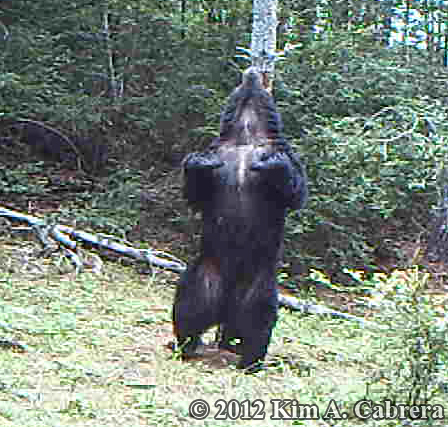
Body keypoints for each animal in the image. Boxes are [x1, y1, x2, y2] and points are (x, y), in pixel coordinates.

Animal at [172, 66, 308, 372]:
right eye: (238, 84)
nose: (252, 71)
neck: (246, 136)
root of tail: (226, 307)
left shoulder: (287, 155)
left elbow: (295, 191)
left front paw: (272, 165)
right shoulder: (218, 153)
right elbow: (194, 192)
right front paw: (199, 162)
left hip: (259, 282)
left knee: (259, 318)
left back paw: (250, 360)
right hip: (205, 274)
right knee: (187, 305)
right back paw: (187, 346)